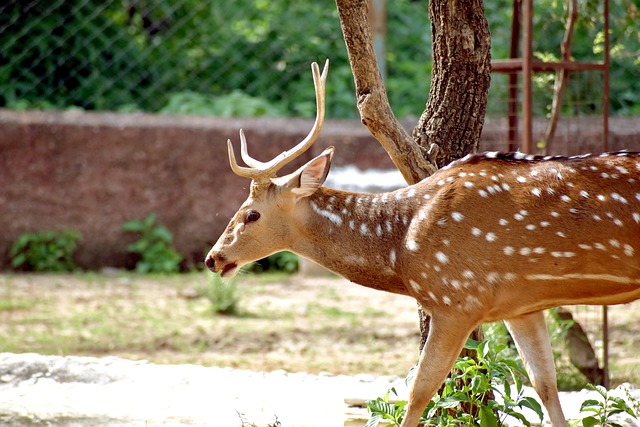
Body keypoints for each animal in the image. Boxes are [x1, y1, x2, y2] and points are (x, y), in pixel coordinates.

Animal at [204, 61, 640, 427]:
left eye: (251, 214)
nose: (213, 258)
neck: (403, 247)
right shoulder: (522, 304)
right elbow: (546, 386)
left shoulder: (458, 299)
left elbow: (419, 391)